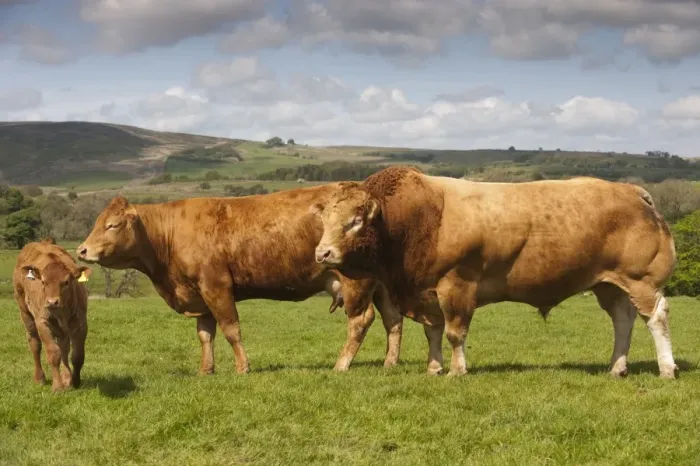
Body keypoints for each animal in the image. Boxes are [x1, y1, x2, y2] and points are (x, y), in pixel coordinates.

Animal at [13, 237, 92, 392]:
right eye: (43, 282)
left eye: (66, 282)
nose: (52, 302)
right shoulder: (42, 323)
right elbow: (53, 353)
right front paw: (57, 387)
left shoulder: (81, 324)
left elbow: (77, 356)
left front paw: (75, 382)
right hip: (25, 313)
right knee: (35, 344)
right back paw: (40, 379)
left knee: (64, 347)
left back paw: (67, 378)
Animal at [76, 186, 444, 376]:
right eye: (96, 222)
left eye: (112, 225)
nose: (81, 250)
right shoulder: (199, 295)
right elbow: (205, 335)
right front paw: (206, 370)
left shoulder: (216, 286)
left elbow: (230, 329)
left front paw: (242, 368)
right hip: (380, 285)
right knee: (393, 319)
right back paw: (389, 362)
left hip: (354, 280)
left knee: (361, 320)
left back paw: (341, 364)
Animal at [312, 166, 680, 379]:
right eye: (324, 220)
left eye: (355, 221)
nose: (322, 253)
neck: (416, 218)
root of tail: (632, 191)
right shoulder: (426, 292)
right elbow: (433, 332)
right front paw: (434, 367)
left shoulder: (457, 285)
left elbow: (455, 332)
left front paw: (457, 371)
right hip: (610, 285)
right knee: (623, 320)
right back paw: (617, 367)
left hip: (642, 281)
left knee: (656, 318)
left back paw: (666, 368)